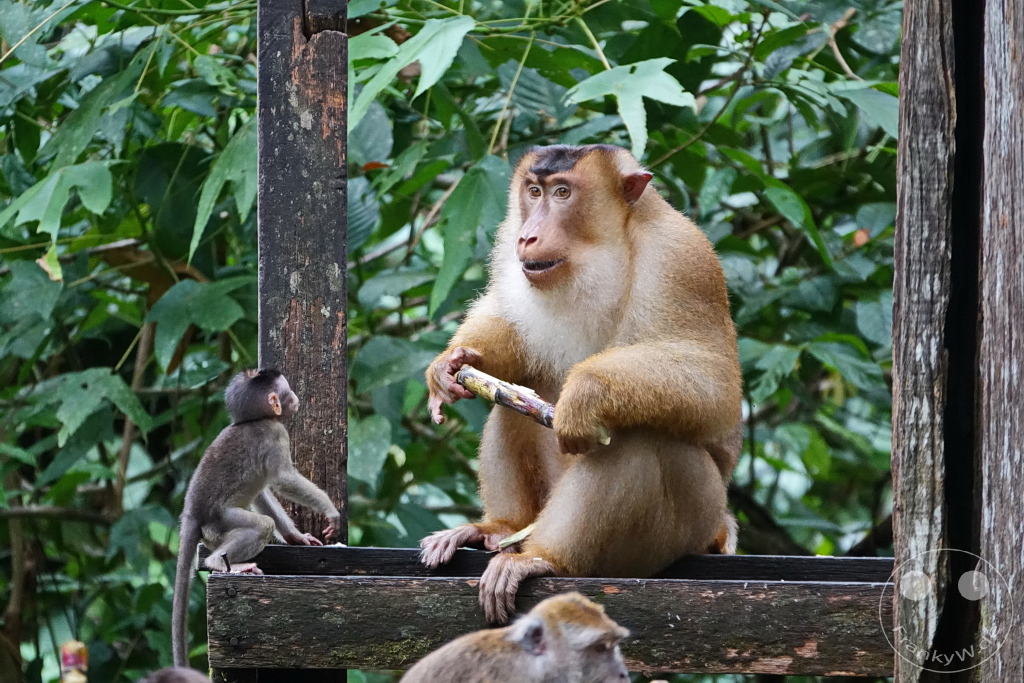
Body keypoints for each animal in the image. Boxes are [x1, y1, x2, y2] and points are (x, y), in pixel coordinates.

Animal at [171, 369, 342, 667]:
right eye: (287, 391)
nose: (295, 397)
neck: (255, 420)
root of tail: (191, 513)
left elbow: (263, 493)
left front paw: (296, 537)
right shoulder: (275, 434)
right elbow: (283, 479)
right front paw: (330, 511)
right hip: (218, 522)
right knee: (261, 526)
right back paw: (222, 563)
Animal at [421, 144, 742, 623]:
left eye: (563, 193)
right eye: (534, 192)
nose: (528, 237)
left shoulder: (681, 257)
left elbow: (714, 382)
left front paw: (587, 393)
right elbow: (510, 327)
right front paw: (452, 364)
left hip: (692, 522)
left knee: (638, 440)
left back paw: (544, 558)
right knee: (515, 397)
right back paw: (498, 528)